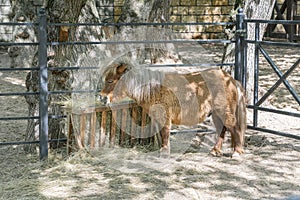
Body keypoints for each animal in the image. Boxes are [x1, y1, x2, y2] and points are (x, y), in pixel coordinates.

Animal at [99, 60, 247, 157]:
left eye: (110, 81)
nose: (102, 97)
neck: (153, 89)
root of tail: (231, 79)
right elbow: (160, 134)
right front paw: (161, 151)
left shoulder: (165, 117)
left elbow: (165, 133)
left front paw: (164, 152)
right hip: (217, 114)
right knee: (223, 129)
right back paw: (215, 151)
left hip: (224, 112)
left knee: (234, 128)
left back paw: (237, 152)